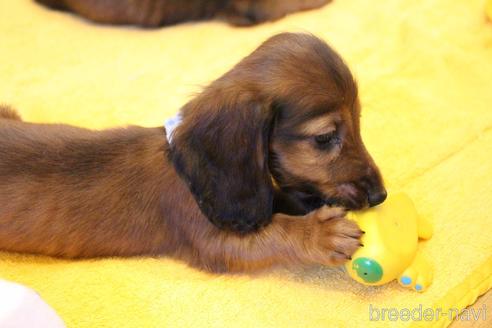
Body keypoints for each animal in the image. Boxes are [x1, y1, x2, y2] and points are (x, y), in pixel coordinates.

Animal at [0, 34, 384, 274]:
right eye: (325, 138)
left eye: (360, 121)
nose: (381, 195)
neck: (186, 169)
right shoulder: (214, 238)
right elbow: (275, 231)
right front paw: (319, 233)